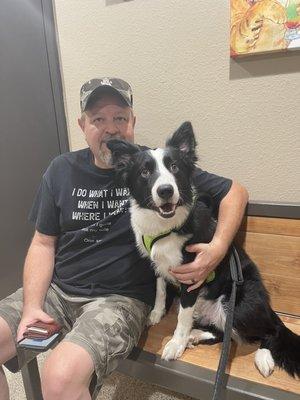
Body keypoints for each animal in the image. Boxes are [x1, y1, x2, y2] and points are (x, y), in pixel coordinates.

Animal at [107, 122, 300, 378]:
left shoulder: (192, 277)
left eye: (175, 167)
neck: (167, 228)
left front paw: (175, 344)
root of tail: (268, 308)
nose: (166, 190)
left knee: (270, 331)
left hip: (239, 304)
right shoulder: (157, 263)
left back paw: (262, 356)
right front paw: (157, 313)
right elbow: (160, 289)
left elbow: (182, 316)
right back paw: (195, 335)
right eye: (144, 172)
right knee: (222, 333)